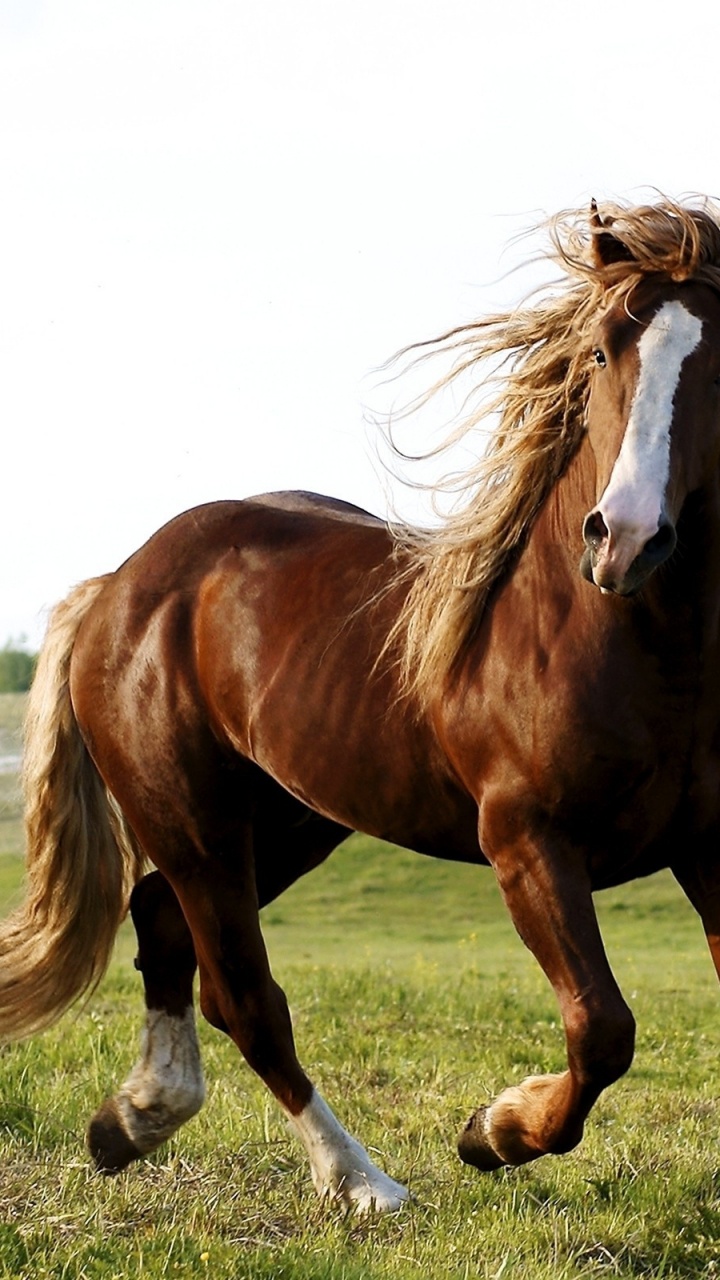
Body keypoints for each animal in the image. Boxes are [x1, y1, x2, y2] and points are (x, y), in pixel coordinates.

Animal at [3, 197, 720, 1215]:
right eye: (600, 352)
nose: (625, 538)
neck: (622, 639)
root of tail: (120, 585)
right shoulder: (528, 844)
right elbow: (602, 1029)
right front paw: (492, 1131)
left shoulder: (713, 849)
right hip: (193, 822)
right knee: (246, 997)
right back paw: (361, 1182)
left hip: (288, 821)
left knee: (164, 927)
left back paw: (131, 1120)